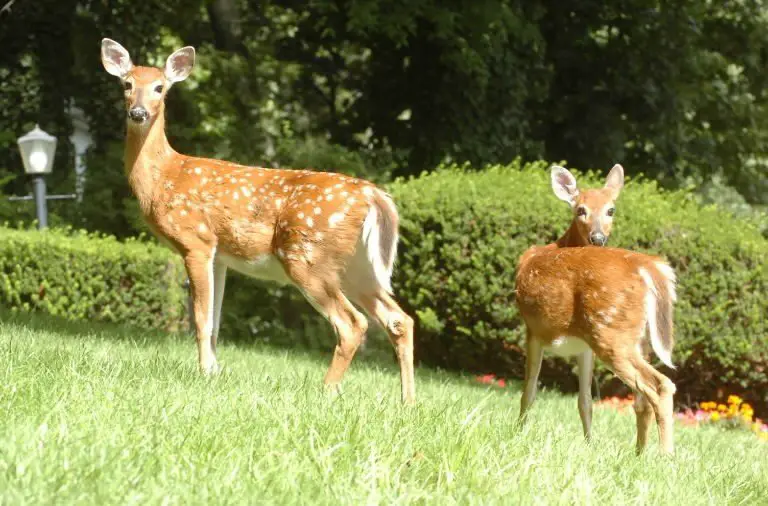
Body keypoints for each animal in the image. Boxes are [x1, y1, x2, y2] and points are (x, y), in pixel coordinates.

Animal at [103, 38, 416, 404]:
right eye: (127, 84)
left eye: (159, 87)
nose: (138, 113)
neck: (165, 176)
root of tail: (373, 195)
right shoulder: (220, 255)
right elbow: (215, 321)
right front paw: (215, 372)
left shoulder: (196, 241)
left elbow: (200, 318)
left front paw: (205, 372)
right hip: (358, 267)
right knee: (399, 319)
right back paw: (408, 402)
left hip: (308, 257)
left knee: (353, 324)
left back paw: (326, 391)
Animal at [516, 166, 680, 454]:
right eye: (580, 209)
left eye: (610, 210)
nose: (598, 237)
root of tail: (648, 265)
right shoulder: (583, 346)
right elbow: (585, 401)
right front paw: (589, 444)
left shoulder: (533, 330)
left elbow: (529, 392)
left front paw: (517, 434)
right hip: (634, 339)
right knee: (642, 402)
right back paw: (639, 454)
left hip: (611, 333)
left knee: (659, 386)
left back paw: (665, 455)